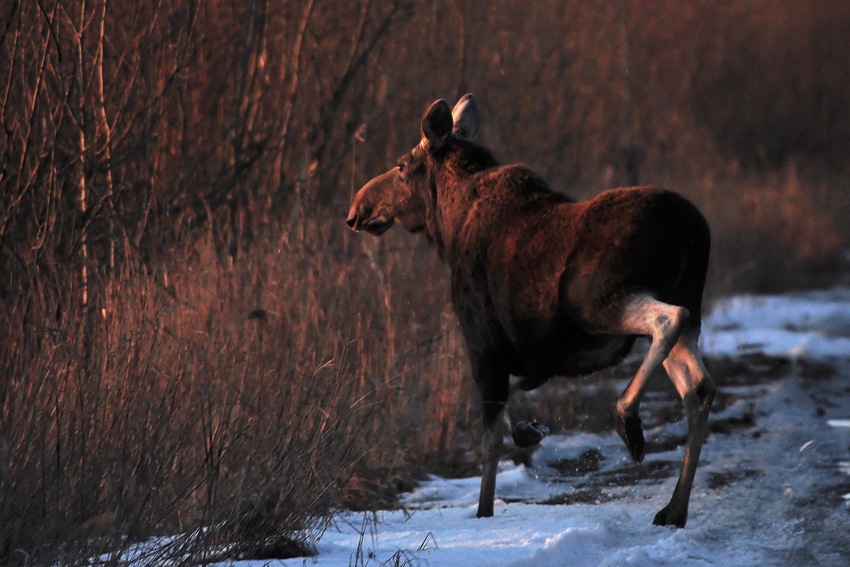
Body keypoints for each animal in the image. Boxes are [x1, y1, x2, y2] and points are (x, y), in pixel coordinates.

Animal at [346, 95, 716, 532]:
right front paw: (530, 429)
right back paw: (674, 508)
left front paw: (484, 510)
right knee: (699, 387)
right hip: (676, 307)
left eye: (402, 165)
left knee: (669, 320)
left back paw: (628, 421)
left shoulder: (482, 344)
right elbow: (514, 405)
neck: (448, 228)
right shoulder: (528, 358)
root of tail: (694, 231)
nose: (359, 208)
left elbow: (490, 442)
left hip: (591, 300)